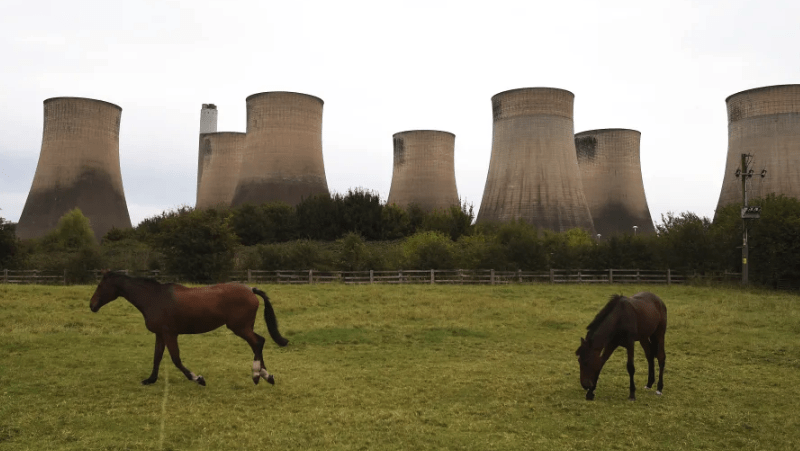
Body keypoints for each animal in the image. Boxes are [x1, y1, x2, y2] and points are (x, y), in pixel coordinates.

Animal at [89, 272, 290, 388]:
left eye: (100, 286)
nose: (92, 305)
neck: (153, 298)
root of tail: (251, 289)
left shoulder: (170, 334)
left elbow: (176, 359)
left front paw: (198, 378)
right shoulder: (160, 334)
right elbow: (157, 357)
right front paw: (150, 380)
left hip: (240, 327)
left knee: (258, 342)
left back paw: (258, 374)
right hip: (243, 327)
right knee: (259, 343)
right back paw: (266, 376)